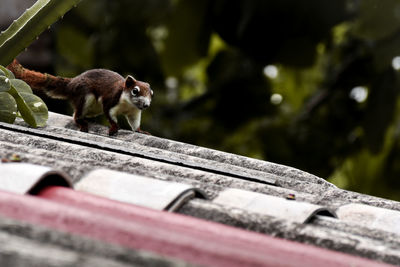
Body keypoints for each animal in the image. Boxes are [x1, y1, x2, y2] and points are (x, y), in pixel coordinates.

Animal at [7, 59, 152, 135]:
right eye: (135, 91)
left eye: (151, 94)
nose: (146, 105)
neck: (128, 104)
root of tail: (71, 84)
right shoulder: (111, 100)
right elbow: (110, 115)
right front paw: (114, 127)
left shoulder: (134, 112)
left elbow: (135, 123)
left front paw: (141, 131)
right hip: (85, 96)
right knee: (76, 115)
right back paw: (82, 124)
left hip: (94, 108)